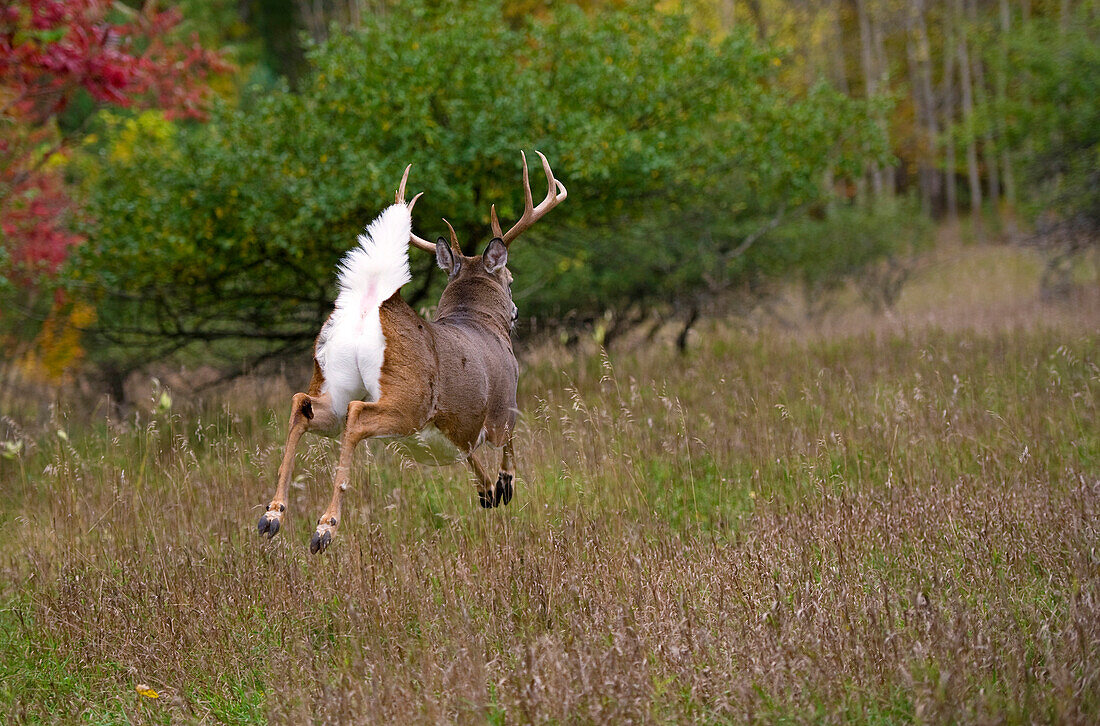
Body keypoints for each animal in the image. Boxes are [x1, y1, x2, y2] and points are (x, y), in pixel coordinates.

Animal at [255, 151, 567, 550]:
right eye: (510, 279)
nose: (515, 312)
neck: (479, 321)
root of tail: (373, 308)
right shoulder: (504, 408)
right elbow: (506, 451)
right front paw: (504, 487)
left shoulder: (458, 431)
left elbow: (468, 454)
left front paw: (486, 492)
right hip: (410, 398)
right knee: (357, 415)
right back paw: (325, 526)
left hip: (333, 380)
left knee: (303, 406)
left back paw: (272, 515)